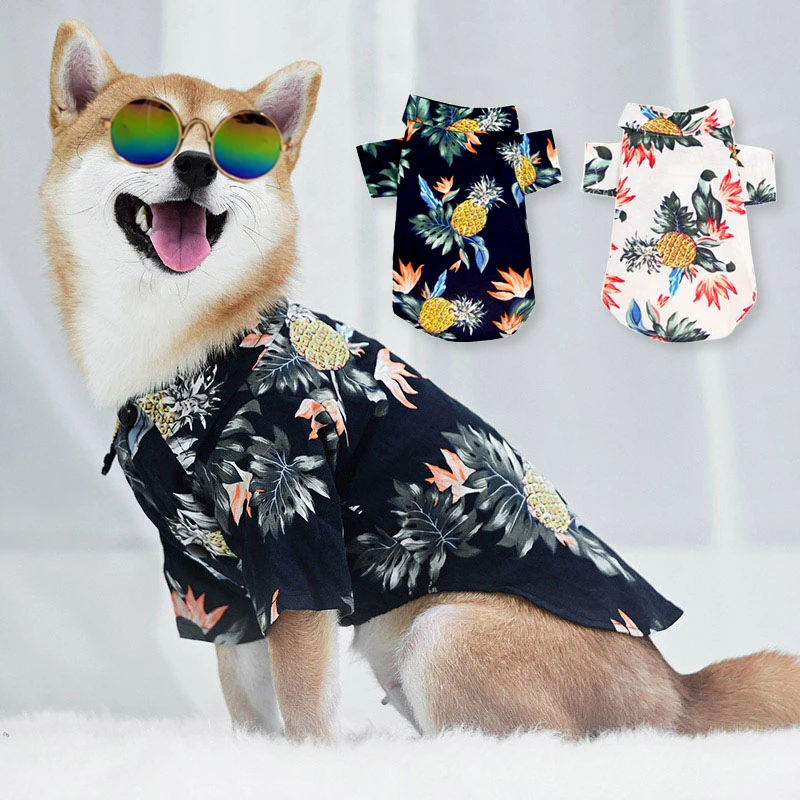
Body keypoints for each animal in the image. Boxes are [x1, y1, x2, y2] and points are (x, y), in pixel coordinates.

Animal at [41, 20, 800, 742]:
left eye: (239, 150)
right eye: (141, 133)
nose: (197, 165)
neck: (185, 351)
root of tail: (676, 694)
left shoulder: (295, 545)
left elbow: (304, 710)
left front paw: (309, 763)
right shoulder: (207, 579)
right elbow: (249, 706)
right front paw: (257, 759)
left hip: (442, 635)